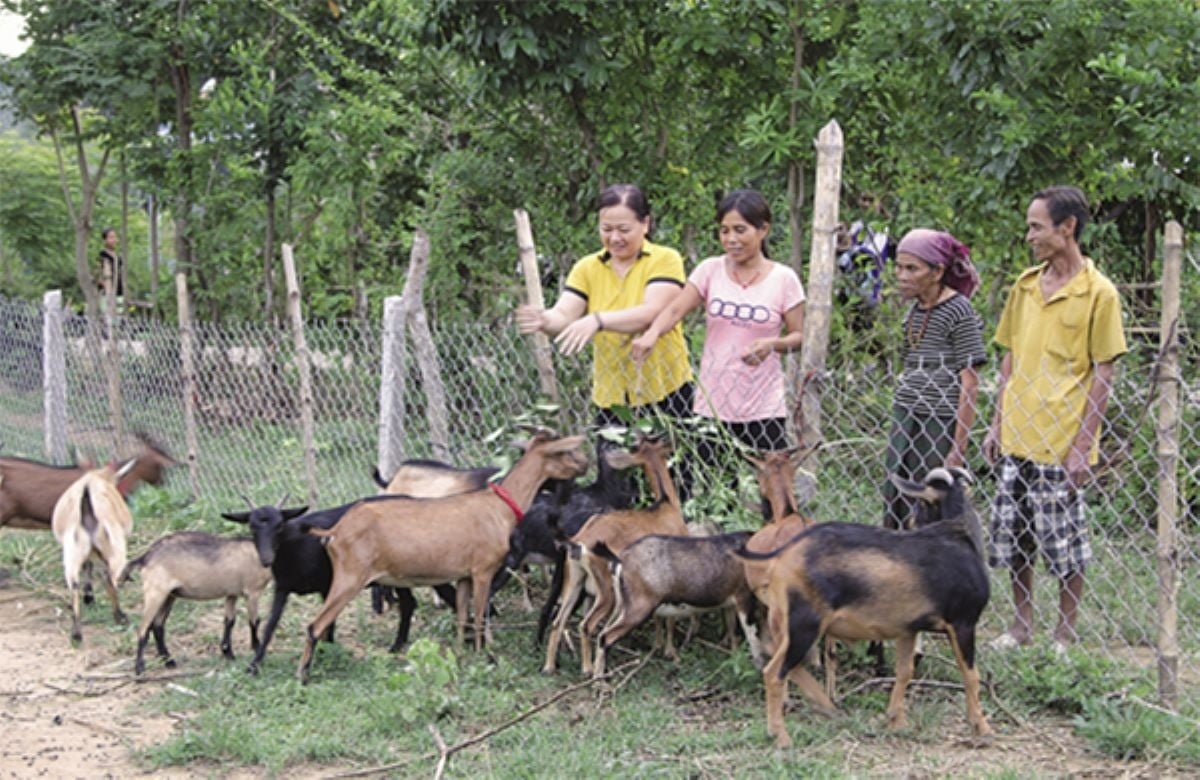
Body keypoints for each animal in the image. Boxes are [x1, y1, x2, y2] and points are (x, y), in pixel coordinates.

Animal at [50, 458, 137, 643]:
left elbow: (88, 567)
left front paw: (89, 595)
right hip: (114, 547)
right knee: (110, 579)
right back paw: (120, 616)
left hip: (72, 552)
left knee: (74, 584)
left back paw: (76, 633)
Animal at [120, 530, 271, 672]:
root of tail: (145, 557)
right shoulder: (253, 592)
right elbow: (254, 621)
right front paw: (257, 648)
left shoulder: (231, 593)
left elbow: (229, 622)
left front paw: (228, 653)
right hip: (155, 592)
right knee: (144, 628)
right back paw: (140, 668)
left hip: (169, 595)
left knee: (157, 626)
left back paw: (169, 662)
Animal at [295, 427, 585, 676]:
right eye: (562, 451)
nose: (584, 465)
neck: (497, 506)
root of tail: (336, 530)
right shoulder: (483, 571)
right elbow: (479, 616)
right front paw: (485, 657)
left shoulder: (464, 575)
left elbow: (461, 616)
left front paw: (459, 654)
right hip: (350, 577)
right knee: (314, 625)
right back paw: (303, 674)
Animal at [542, 432, 686, 672]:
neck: (666, 506)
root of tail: (579, 541)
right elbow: (669, 618)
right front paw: (670, 652)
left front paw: (658, 647)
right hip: (606, 591)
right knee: (586, 625)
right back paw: (589, 669)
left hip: (574, 581)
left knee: (558, 620)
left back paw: (550, 667)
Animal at [739, 468, 993, 748]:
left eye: (920, 506)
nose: (911, 520)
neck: (959, 537)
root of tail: (785, 554)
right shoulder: (963, 622)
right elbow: (970, 675)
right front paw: (981, 727)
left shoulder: (908, 630)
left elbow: (904, 672)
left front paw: (896, 722)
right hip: (804, 624)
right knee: (775, 671)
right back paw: (781, 736)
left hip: (787, 623)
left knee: (781, 660)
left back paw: (825, 707)